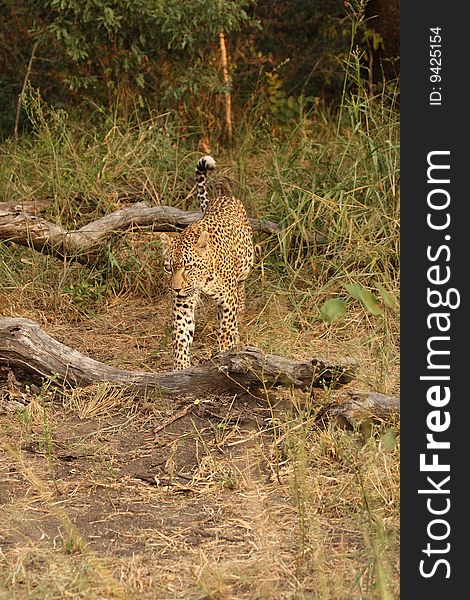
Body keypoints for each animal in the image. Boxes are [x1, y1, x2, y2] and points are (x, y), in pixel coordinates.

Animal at [159, 155, 255, 370]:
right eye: (168, 268)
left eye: (189, 267)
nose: (175, 289)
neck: (203, 281)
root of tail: (224, 197)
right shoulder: (183, 302)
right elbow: (181, 336)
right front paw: (180, 368)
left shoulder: (227, 299)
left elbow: (226, 328)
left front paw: (225, 352)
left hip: (244, 269)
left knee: (240, 295)